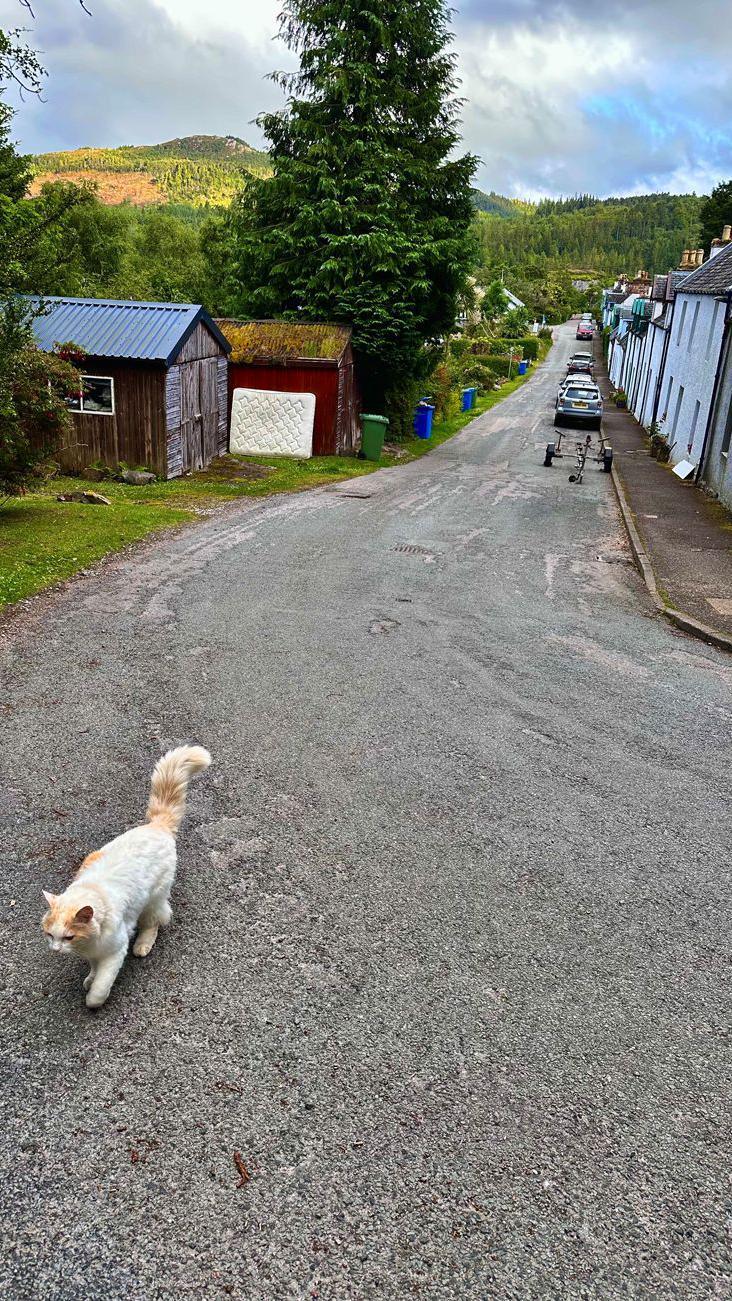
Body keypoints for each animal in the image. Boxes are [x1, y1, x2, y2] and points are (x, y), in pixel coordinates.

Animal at [41, 744, 210, 1004]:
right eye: (50, 935)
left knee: (155, 921)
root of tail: (156, 825)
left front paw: (93, 998)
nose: (56, 949)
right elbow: (94, 969)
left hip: (153, 900)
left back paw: (142, 945)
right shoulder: (93, 954)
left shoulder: (114, 952)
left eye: (69, 937)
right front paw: (89, 978)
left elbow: (101, 986)